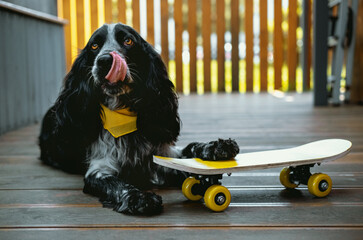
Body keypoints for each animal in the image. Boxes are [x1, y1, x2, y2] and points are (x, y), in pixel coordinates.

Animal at [38, 23, 240, 216]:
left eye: (128, 41)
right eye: (94, 46)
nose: (105, 61)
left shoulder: (162, 152)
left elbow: (189, 150)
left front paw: (217, 147)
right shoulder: (99, 170)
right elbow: (117, 184)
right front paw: (139, 198)